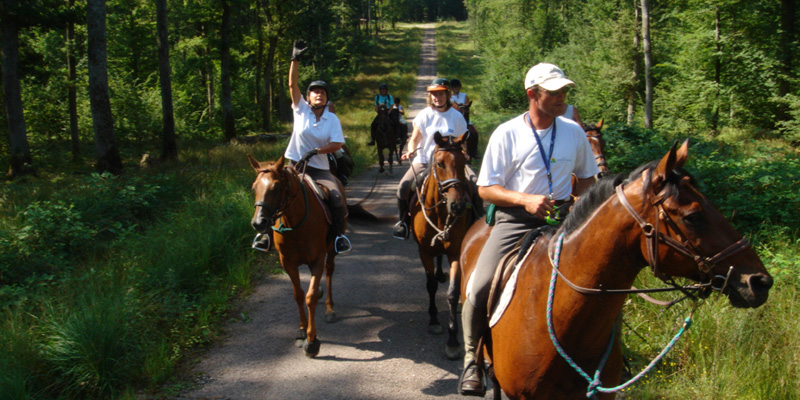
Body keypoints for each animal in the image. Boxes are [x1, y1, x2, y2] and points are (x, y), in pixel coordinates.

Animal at [247, 155, 340, 358]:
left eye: (275, 188)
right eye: (254, 188)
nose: (258, 223)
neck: (295, 222)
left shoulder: (317, 260)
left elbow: (310, 297)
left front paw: (312, 341)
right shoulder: (287, 262)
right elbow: (298, 295)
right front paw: (301, 332)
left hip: (331, 251)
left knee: (329, 271)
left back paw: (330, 308)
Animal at [410, 131, 478, 360]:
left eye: (464, 161)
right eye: (439, 163)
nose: (457, 206)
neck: (441, 213)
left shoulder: (455, 252)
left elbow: (452, 293)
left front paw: (453, 341)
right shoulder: (424, 251)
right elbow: (430, 285)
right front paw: (433, 322)